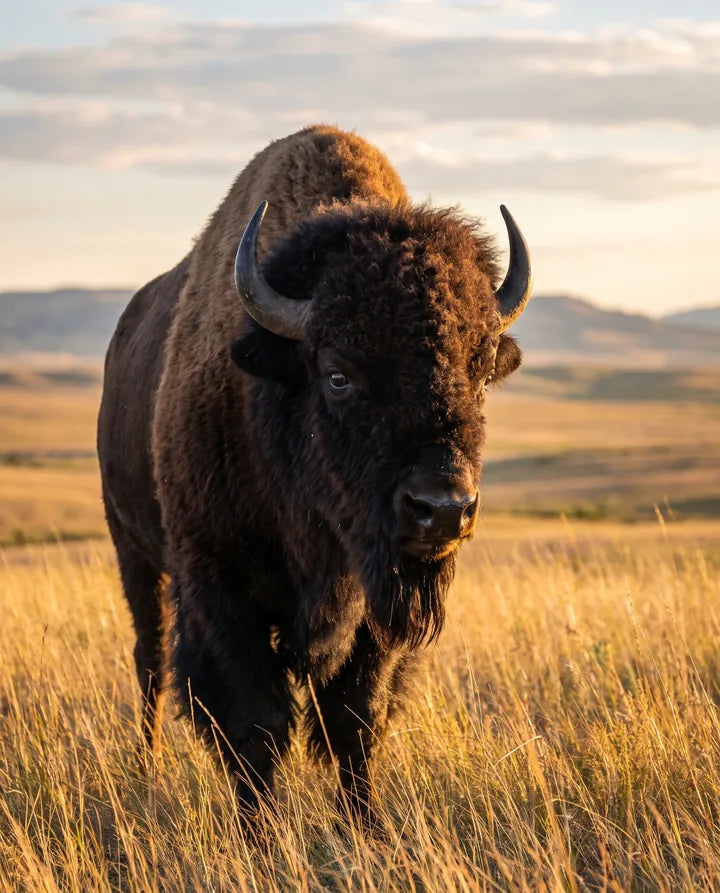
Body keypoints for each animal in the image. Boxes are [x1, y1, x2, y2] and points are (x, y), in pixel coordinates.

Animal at [97, 124, 532, 827]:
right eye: (337, 374)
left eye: (480, 371)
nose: (441, 509)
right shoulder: (218, 585)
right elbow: (255, 723)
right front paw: (261, 836)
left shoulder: (374, 603)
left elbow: (355, 719)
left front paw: (367, 829)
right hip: (132, 550)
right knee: (150, 661)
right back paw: (143, 766)